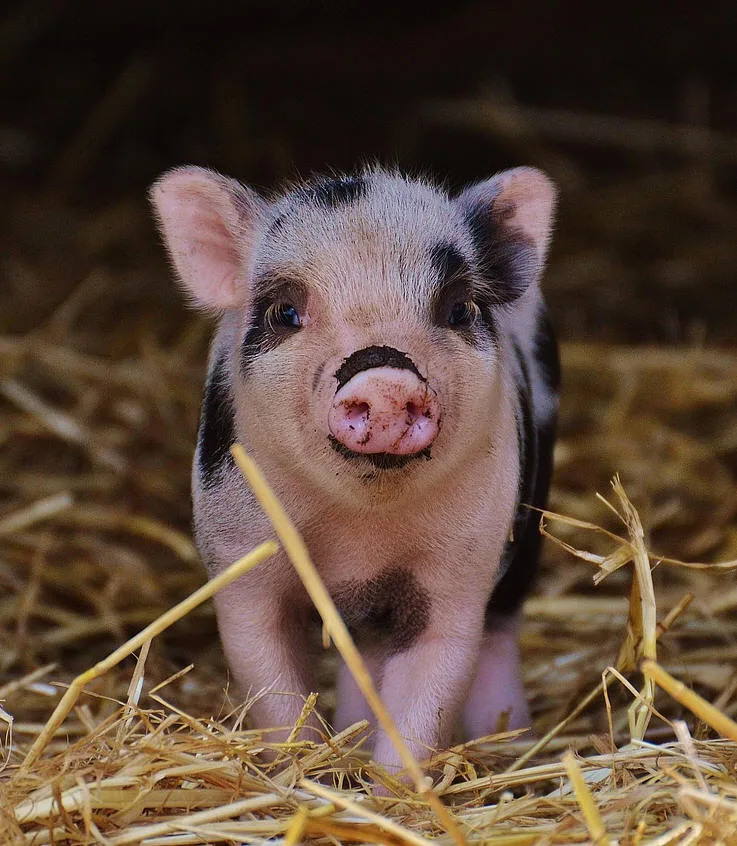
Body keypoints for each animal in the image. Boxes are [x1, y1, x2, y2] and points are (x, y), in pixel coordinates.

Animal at [149, 164, 559, 778]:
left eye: (459, 309)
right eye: (285, 312)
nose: (385, 376)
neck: (360, 535)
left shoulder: (460, 571)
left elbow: (428, 693)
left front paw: (393, 790)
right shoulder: (240, 560)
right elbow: (272, 686)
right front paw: (303, 774)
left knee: (500, 630)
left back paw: (509, 744)